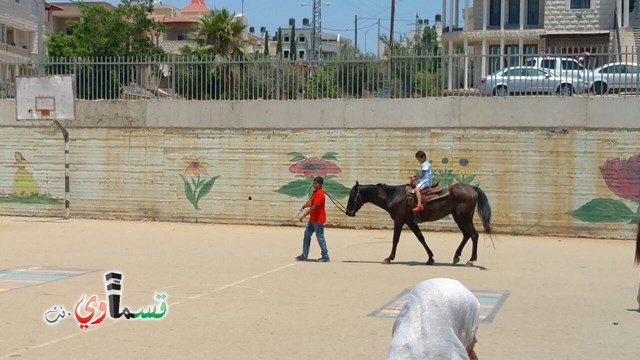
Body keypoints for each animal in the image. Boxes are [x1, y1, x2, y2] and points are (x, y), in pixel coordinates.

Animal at [344, 183, 490, 264]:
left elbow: (395, 239)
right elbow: (421, 238)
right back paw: (456, 256)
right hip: (458, 217)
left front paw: (389, 258)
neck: (393, 196)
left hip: (464, 217)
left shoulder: (399, 220)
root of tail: (472, 188)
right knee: (466, 235)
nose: (348, 212)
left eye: (352, 194)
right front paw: (430, 258)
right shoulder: (410, 222)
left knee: (474, 235)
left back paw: (471, 260)